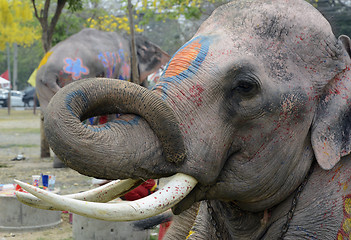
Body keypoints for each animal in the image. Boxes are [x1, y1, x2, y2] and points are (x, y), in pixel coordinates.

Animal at [36, 28, 171, 110]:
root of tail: (48, 74)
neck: (128, 39)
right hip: (74, 76)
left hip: (41, 91)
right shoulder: (124, 65)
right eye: (153, 51)